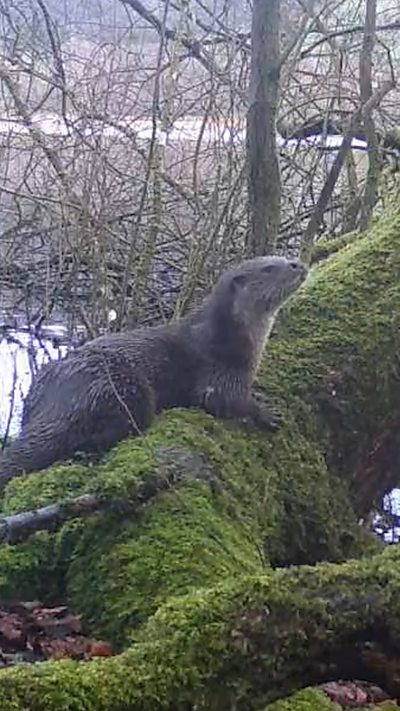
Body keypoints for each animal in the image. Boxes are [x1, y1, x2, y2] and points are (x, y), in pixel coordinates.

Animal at [0, 256, 307, 488]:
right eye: (269, 268)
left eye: (280, 256)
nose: (298, 264)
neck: (236, 337)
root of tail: (59, 399)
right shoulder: (219, 369)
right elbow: (223, 400)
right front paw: (266, 414)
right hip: (122, 388)